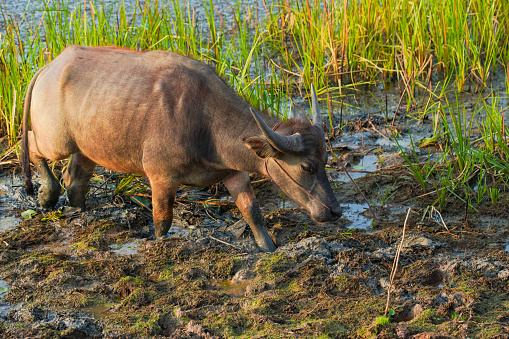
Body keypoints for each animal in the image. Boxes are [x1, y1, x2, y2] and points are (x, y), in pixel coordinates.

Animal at [19, 45, 340, 252]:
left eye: (326, 160)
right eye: (306, 166)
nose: (335, 211)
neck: (206, 123)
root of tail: (49, 67)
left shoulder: (233, 173)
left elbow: (253, 212)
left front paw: (268, 247)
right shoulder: (161, 178)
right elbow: (162, 221)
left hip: (85, 148)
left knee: (76, 181)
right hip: (56, 141)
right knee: (34, 145)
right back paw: (46, 195)